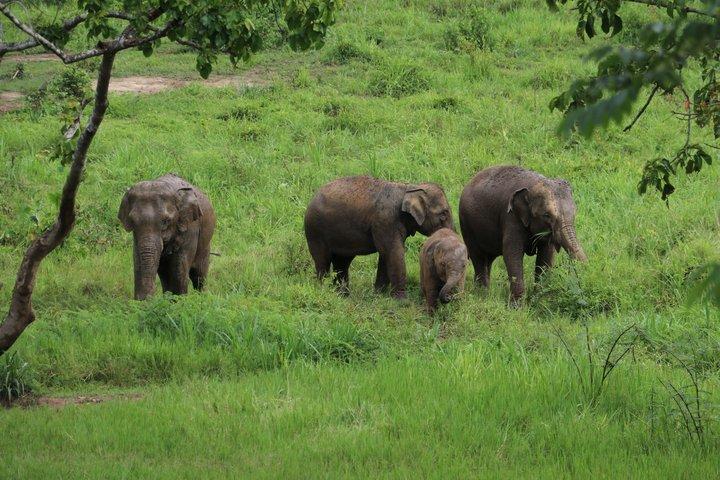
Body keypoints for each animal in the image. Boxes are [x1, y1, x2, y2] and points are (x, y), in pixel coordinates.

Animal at [304, 176, 454, 298]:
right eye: (443, 214)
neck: (409, 188)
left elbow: (385, 255)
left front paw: (379, 295)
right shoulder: (385, 221)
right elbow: (393, 253)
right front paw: (401, 300)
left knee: (342, 263)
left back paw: (342, 295)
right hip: (315, 231)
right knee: (322, 262)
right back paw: (324, 290)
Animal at [459, 165, 587, 305]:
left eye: (574, 213)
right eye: (546, 215)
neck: (533, 185)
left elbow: (546, 254)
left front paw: (540, 300)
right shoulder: (511, 217)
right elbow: (512, 253)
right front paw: (517, 306)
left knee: (488, 260)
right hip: (467, 226)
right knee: (479, 257)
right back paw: (482, 295)